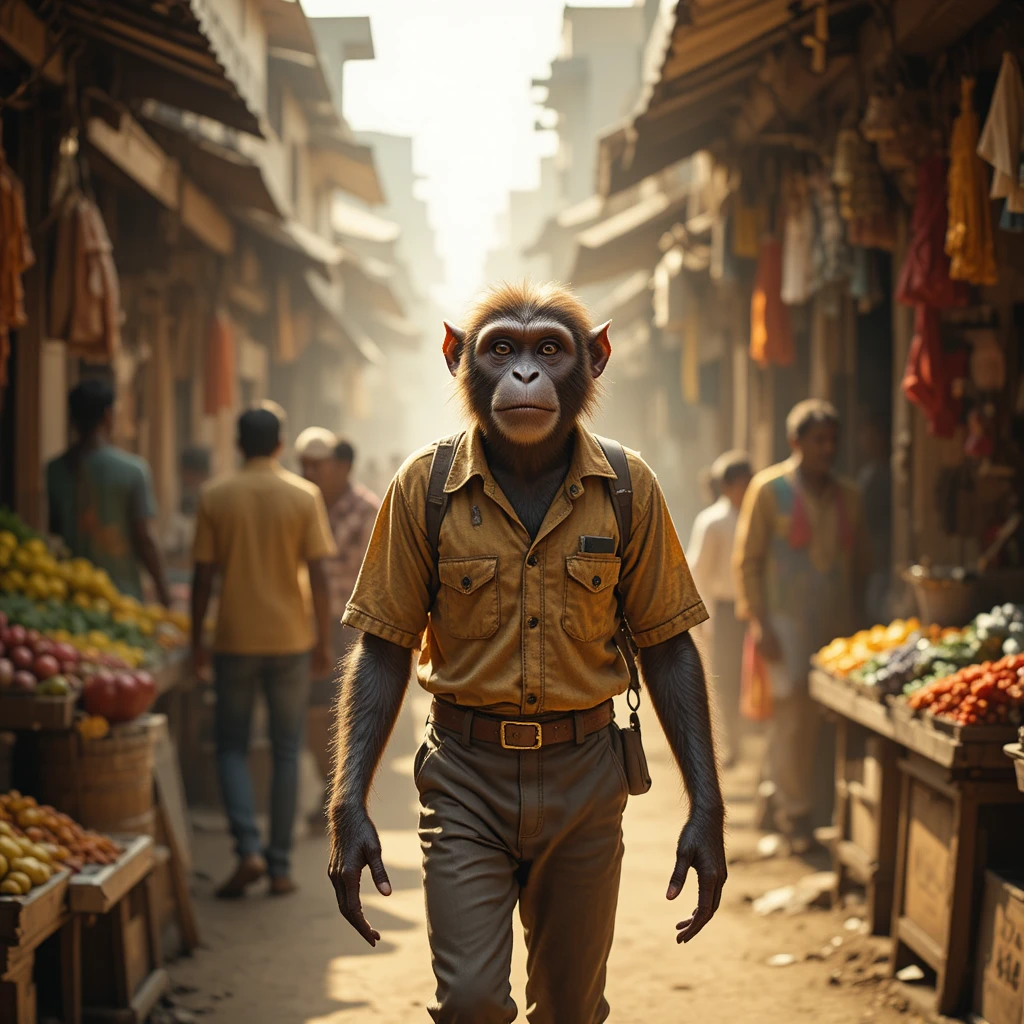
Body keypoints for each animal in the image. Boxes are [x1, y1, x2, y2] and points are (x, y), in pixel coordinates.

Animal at [328, 281, 726, 1023]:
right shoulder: (402, 494)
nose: (522, 375)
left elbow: (670, 649)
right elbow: (383, 652)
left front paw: (705, 841)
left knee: (570, 980)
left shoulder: (649, 491)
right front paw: (352, 838)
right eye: (501, 348)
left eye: (548, 348)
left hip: (588, 835)